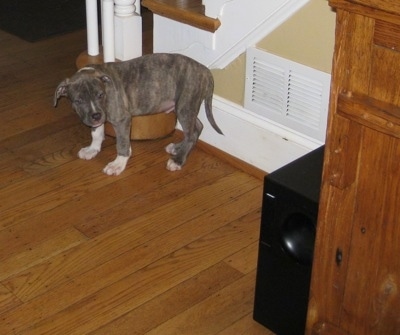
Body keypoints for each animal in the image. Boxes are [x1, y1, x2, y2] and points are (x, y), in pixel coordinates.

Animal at [54, 53, 222, 176]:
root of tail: (204, 70)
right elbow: (96, 132)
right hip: (180, 105)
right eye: (78, 100)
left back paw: (178, 160)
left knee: (191, 133)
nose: (96, 116)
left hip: (184, 106)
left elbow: (122, 143)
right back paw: (177, 148)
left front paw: (118, 164)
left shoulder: (122, 120)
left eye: (100, 95)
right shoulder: (98, 117)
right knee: (197, 127)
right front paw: (92, 149)